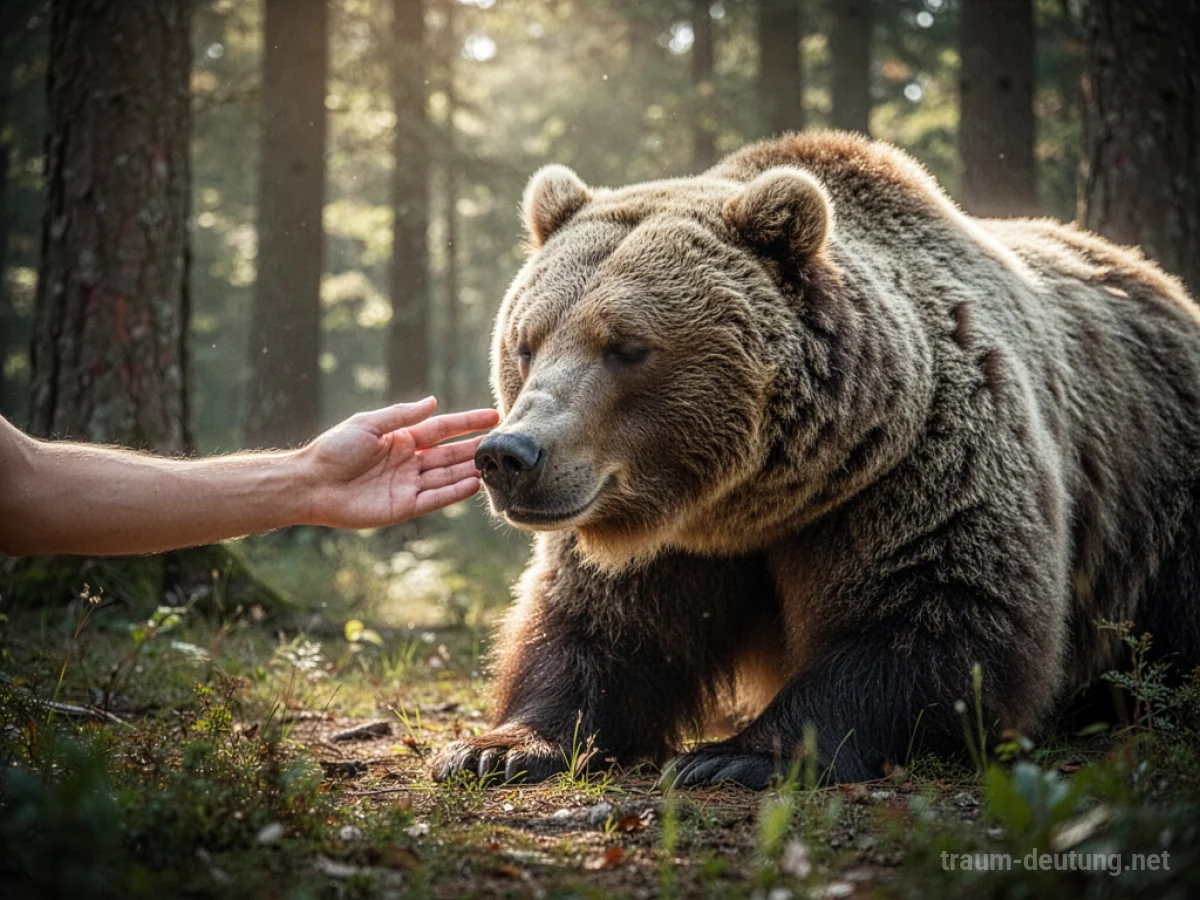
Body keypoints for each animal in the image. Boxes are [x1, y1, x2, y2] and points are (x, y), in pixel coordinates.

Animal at [431, 131, 1200, 788]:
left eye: (627, 346)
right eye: (527, 342)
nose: (509, 455)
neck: (749, 501)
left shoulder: (914, 466)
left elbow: (933, 616)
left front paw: (735, 757)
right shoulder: (659, 535)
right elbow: (599, 628)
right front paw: (495, 748)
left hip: (1162, 497)